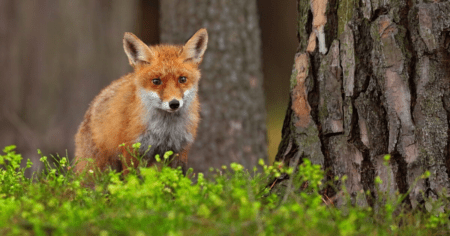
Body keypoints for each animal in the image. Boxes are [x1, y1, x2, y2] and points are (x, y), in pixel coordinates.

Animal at [74, 28, 207, 174]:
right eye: (156, 81)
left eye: (182, 79)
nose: (174, 103)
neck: (165, 131)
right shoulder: (131, 149)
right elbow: (132, 179)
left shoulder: (180, 151)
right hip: (98, 168)